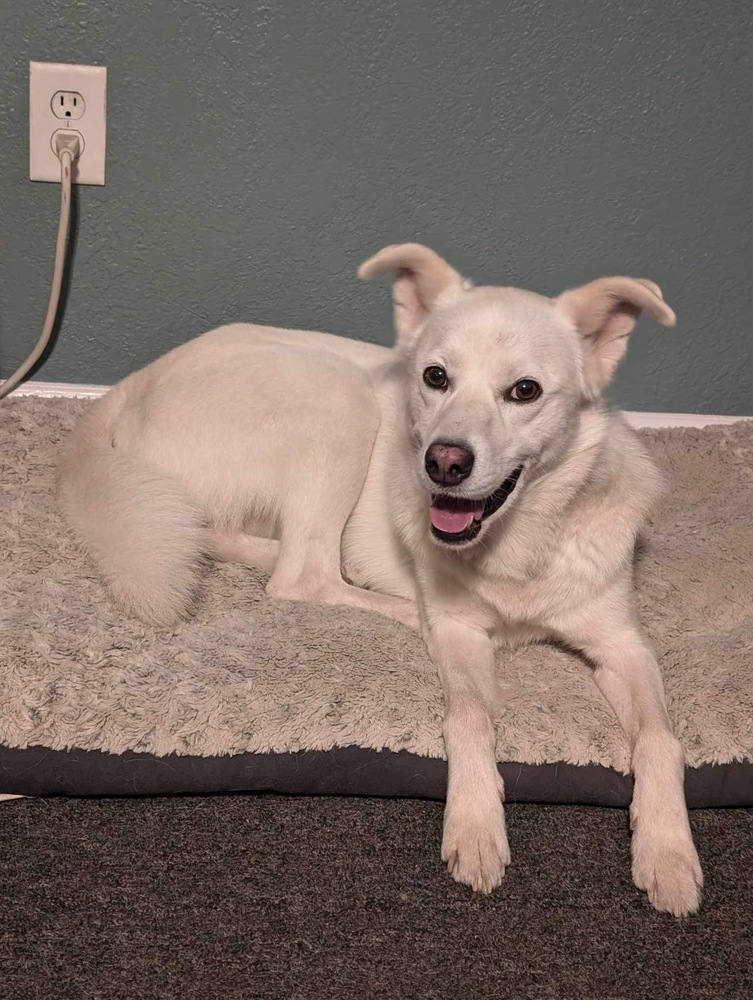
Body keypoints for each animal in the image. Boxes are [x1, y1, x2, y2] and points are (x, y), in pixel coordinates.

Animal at [61, 242, 704, 916]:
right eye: (436, 377)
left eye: (525, 391)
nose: (443, 463)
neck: (520, 541)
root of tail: (133, 386)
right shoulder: (460, 637)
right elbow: (469, 717)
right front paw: (476, 823)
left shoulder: (623, 647)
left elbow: (662, 739)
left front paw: (667, 850)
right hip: (339, 402)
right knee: (295, 571)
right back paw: (394, 604)